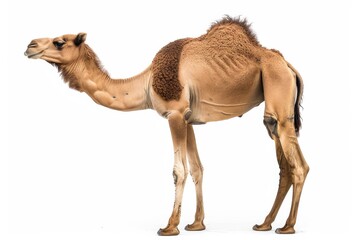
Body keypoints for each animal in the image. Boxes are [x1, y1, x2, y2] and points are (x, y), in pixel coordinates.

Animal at [23, 15, 308, 235]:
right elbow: (197, 168)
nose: (30, 45)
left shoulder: (175, 114)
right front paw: (196, 224)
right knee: (284, 165)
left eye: (60, 41)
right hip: (272, 115)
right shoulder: (189, 118)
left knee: (299, 166)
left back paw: (287, 227)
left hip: (278, 93)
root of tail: (288, 65)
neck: (146, 83)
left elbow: (178, 171)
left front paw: (170, 226)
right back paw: (264, 224)